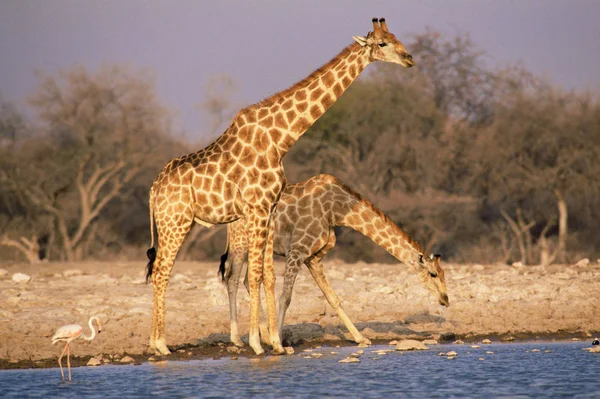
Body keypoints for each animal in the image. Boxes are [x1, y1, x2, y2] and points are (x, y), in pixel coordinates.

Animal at [147, 18, 414, 356]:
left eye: (395, 37)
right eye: (382, 44)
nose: (409, 58)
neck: (280, 140)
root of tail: (153, 189)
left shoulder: (269, 209)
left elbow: (269, 276)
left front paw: (275, 342)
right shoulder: (258, 209)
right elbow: (255, 276)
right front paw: (257, 344)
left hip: (180, 222)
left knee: (163, 270)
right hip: (175, 221)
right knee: (161, 271)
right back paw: (160, 345)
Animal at [218, 175, 448, 346]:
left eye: (444, 274)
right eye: (432, 274)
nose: (445, 300)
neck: (336, 210)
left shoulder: (314, 257)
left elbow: (333, 298)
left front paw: (361, 338)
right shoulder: (297, 250)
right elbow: (286, 297)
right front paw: (279, 342)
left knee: (246, 280)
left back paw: (262, 335)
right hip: (241, 243)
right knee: (232, 279)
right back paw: (239, 340)